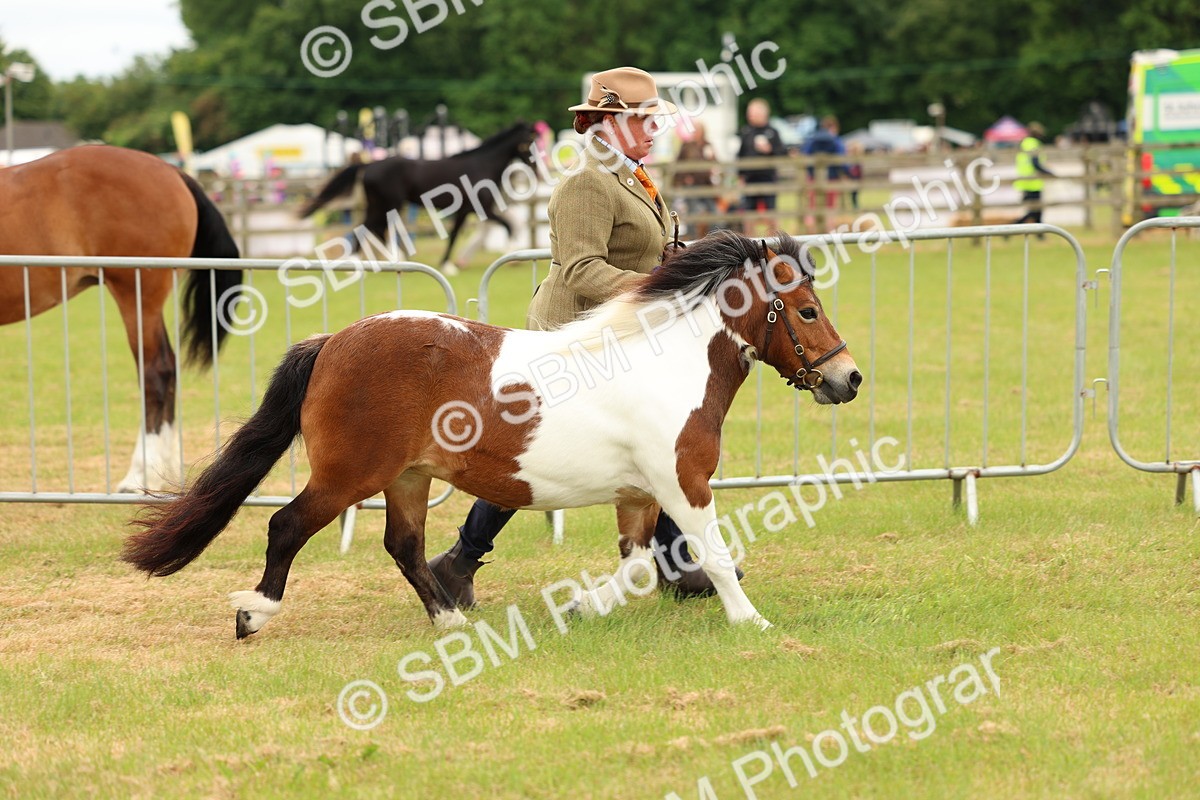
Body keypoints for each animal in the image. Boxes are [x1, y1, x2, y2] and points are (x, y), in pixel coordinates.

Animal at [122, 231, 861, 638]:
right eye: (806, 309)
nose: (848, 378)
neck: (665, 361)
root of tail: (332, 342)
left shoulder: (641, 493)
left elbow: (638, 565)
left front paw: (582, 608)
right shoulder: (683, 482)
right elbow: (711, 554)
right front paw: (752, 621)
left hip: (408, 479)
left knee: (404, 546)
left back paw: (450, 620)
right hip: (349, 476)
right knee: (287, 526)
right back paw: (254, 614)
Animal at [297, 122, 537, 273]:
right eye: (529, 141)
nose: (535, 167)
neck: (481, 165)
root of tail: (371, 164)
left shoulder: (466, 211)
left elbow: (454, 235)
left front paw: (448, 264)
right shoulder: (480, 209)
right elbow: (507, 226)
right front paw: (510, 254)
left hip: (379, 205)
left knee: (372, 229)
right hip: (388, 205)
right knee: (369, 229)